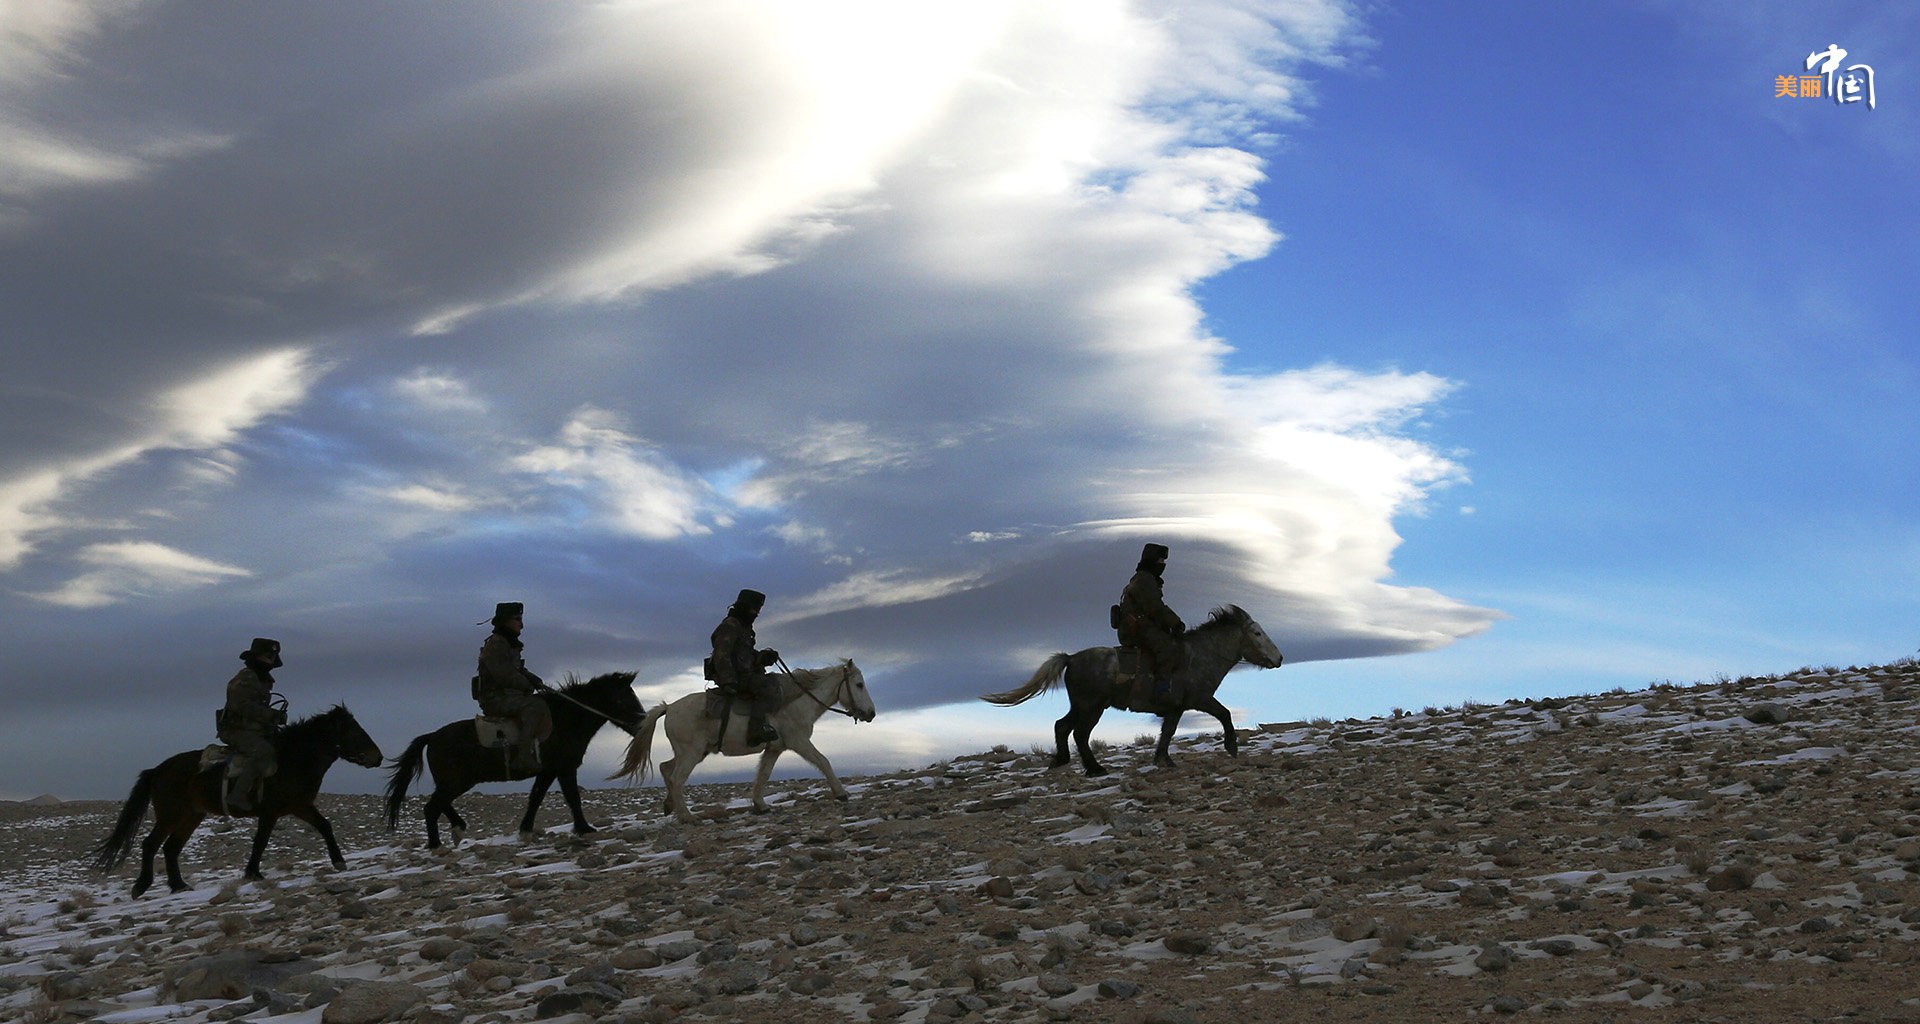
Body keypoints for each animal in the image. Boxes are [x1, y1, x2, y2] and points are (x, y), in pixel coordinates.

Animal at [91, 703, 384, 895]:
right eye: (353, 731)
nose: (377, 757)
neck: (292, 760)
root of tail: (158, 770)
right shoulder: (271, 811)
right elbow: (261, 841)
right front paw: (252, 872)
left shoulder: (300, 806)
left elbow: (325, 826)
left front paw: (339, 861)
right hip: (171, 814)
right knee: (150, 844)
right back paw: (142, 886)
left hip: (192, 816)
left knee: (171, 848)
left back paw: (179, 886)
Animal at [385, 672, 641, 845]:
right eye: (624, 698)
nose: (641, 724)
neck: (565, 720)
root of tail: (432, 736)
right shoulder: (565, 768)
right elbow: (573, 798)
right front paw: (584, 828)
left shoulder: (547, 771)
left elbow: (535, 798)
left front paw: (526, 829)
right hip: (457, 782)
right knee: (431, 807)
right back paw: (437, 844)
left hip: (454, 782)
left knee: (440, 803)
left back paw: (459, 828)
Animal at [606, 660, 879, 822]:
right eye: (859, 684)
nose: (871, 714)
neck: (794, 701)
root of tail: (669, 707)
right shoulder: (799, 742)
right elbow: (824, 762)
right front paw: (841, 793)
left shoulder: (775, 748)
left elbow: (763, 775)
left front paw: (760, 805)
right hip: (691, 754)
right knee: (676, 778)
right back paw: (686, 816)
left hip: (693, 753)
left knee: (666, 768)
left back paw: (670, 806)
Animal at [983, 599, 1282, 776]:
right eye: (1256, 633)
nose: (1278, 658)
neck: (1199, 655)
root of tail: (1071, 658)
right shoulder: (1201, 700)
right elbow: (1225, 714)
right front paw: (1231, 747)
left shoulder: (1176, 709)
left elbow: (1167, 733)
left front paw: (1164, 760)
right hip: (1092, 707)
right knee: (1079, 733)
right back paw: (1095, 768)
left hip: (1082, 706)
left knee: (1062, 726)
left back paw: (1063, 760)